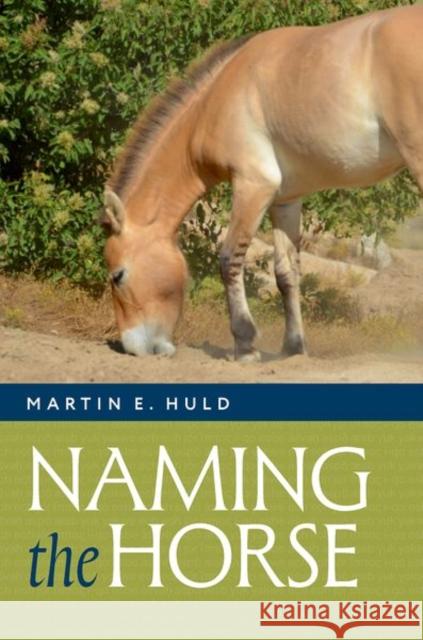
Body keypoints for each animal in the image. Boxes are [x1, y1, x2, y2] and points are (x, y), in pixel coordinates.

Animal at [103, 4, 422, 361]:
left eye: (118, 276)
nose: (133, 348)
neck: (215, 100)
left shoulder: (253, 185)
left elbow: (229, 258)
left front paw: (245, 344)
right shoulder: (285, 200)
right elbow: (286, 273)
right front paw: (293, 348)